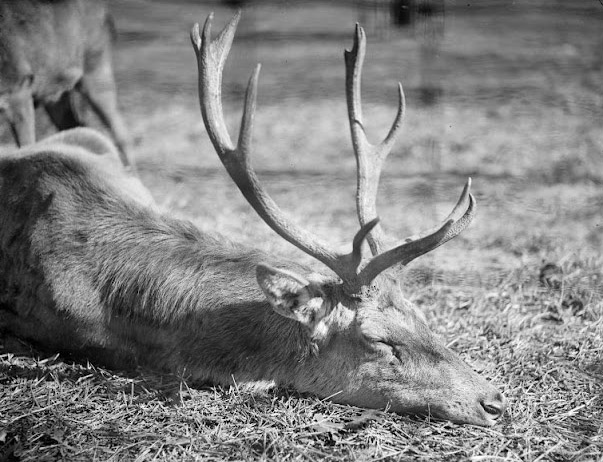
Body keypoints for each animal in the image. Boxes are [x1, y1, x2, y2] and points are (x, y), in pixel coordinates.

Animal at [0, 0, 133, 168]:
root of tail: (106, 12)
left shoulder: (19, 87)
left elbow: (27, 145)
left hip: (96, 65)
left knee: (120, 133)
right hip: (55, 91)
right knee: (75, 126)